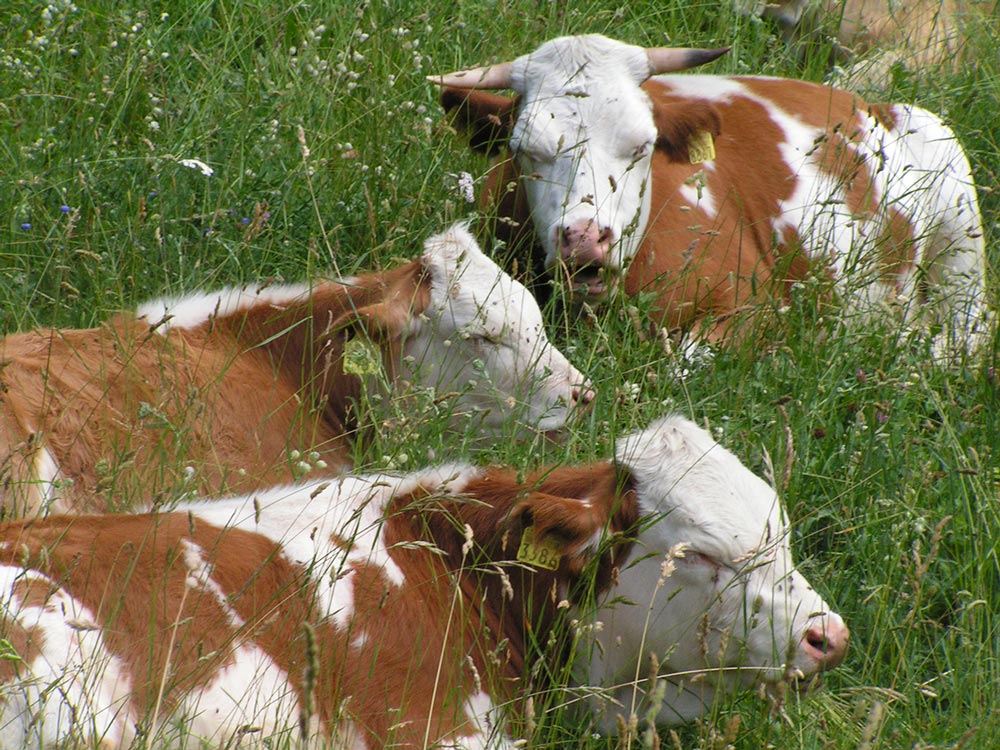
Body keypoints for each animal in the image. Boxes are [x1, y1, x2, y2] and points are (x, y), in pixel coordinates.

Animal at [436, 36, 984, 358]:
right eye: (524, 149)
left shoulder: (757, 308)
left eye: (643, 145)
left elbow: (686, 360)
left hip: (962, 243)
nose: (585, 239)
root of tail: (865, 102)